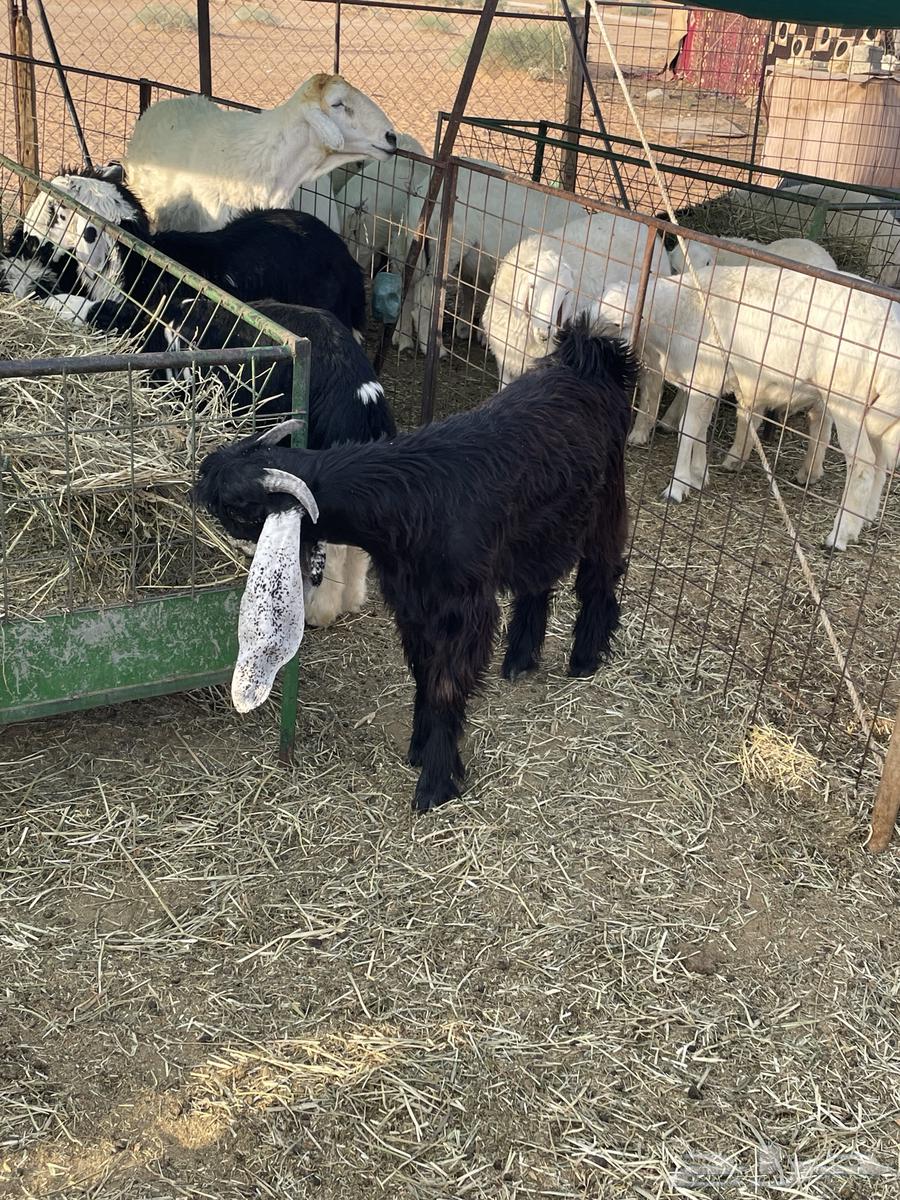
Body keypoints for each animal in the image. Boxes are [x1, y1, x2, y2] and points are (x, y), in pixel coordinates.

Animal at [194, 316, 634, 812]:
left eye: (241, 505)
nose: (200, 476)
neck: (413, 500)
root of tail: (591, 358)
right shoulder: (412, 603)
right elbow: (423, 674)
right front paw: (418, 748)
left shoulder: (464, 611)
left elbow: (445, 686)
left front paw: (435, 781)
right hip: (541, 528)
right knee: (537, 581)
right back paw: (520, 659)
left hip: (606, 508)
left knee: (599, 577)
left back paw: (585, 658)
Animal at [598, 264, 900, 550]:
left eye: (616, 323)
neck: (678, 310)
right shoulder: (709, 383)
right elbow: (700, 429)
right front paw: (699, 474)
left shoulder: (703, 376)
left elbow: (688, 429)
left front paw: (678, 485)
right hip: (877, 415)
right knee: (880, 464)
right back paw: (864, 520)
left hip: (849, 401)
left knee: (863, 466)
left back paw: (839, 535)